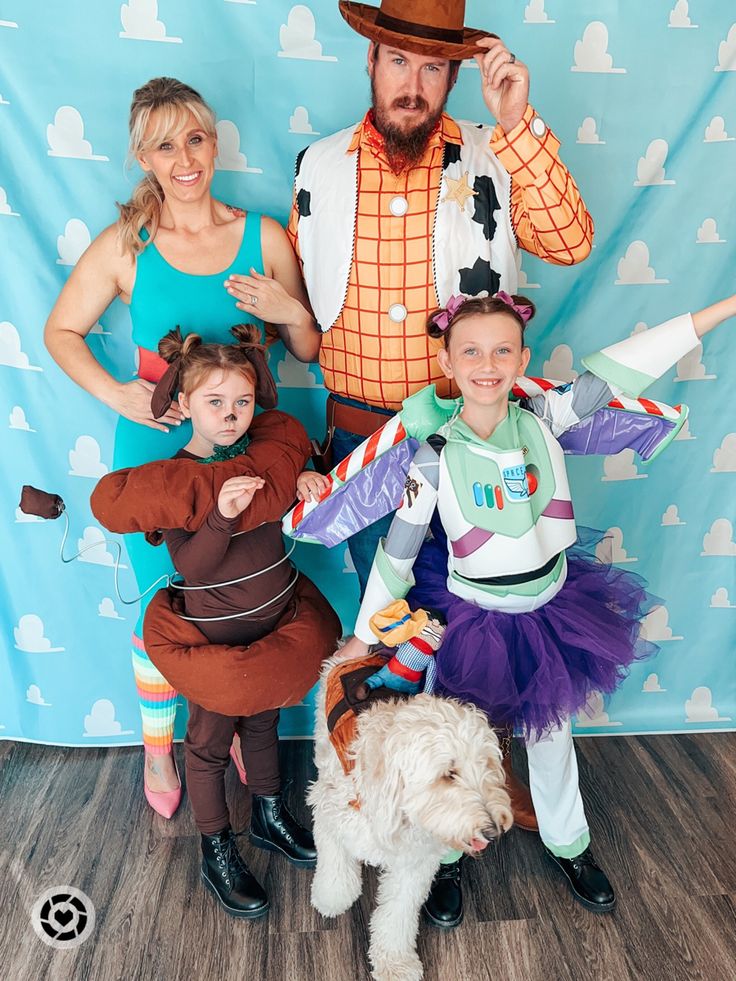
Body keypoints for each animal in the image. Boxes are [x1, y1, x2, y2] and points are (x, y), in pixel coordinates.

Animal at [308, 652, 508, 980]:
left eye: (487, 765)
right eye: (449, 774)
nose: (493, 831)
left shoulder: (415, 863)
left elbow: (397, 913)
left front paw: (395, 963)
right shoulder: (329, 810)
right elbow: (335, 861)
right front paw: (333, 895)